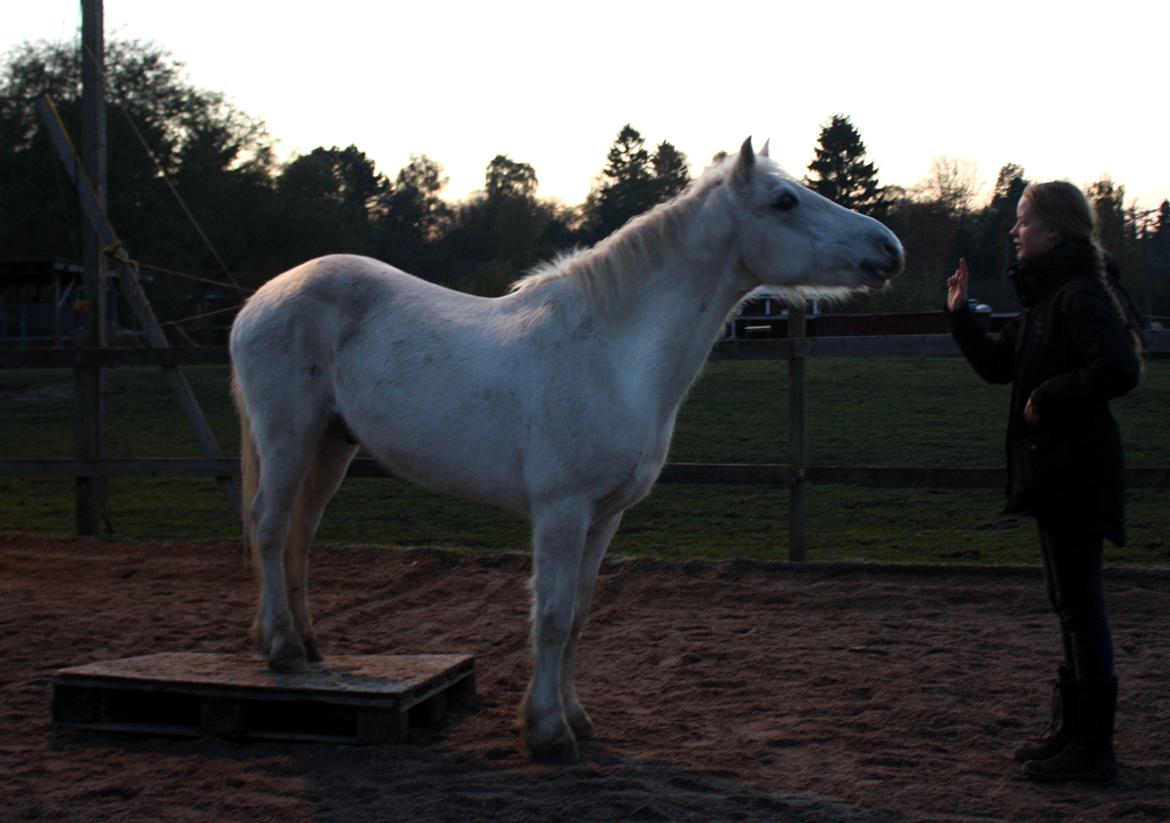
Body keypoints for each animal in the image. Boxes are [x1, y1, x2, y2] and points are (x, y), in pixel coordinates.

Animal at [228, 138, 903, 763]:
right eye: (784, 200)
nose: (889, 248)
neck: (614, 349)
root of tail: (262, 299)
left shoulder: (605, 517)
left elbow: (578, 615)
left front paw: (576, 719)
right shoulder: (562, 510)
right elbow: (550, 616)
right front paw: (548, 733)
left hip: (331, 445)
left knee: (299, 534)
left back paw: (310, 646)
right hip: (288, 437)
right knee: (269, 526)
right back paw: (282, 650)